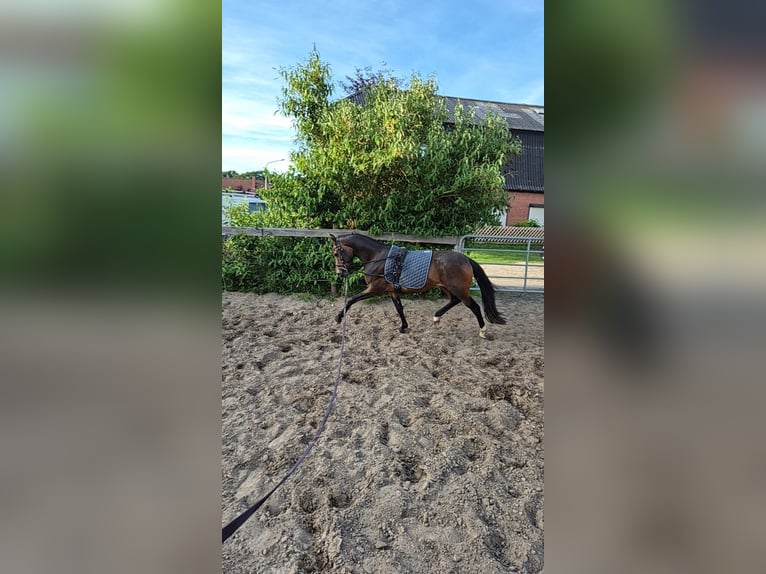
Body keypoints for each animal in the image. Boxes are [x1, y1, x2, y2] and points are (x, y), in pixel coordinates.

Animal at [330, 233, 506, 338]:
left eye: (336, 253)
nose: (341, 273)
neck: (379, 258)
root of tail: (466, 259)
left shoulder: (375, 289)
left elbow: (351, 300)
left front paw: (338, 317)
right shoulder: (391, 290)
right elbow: (399, 308)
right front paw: (403, 327)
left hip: (460, 290)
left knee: (474, 307)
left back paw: (483, 331)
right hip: (447, 288)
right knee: (454, 301)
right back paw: (436, 317)